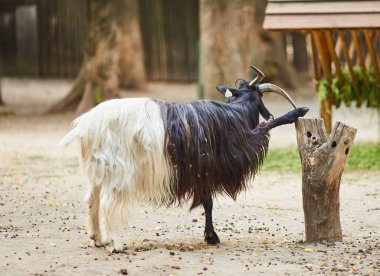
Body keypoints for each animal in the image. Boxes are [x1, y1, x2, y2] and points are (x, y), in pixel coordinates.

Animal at [60, 66, 308, 252]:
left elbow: (207, 202)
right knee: (107, 203)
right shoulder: (222, 159)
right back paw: (114, 243)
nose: (268, 111)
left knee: (92, 200)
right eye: (261, 96)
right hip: (120, 171)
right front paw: (296, 113)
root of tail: (87, 127)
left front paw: (210, 235)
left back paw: (98, 239)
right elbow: (267, 127)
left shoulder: (202, 170)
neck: (235, 115)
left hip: (97, 170)